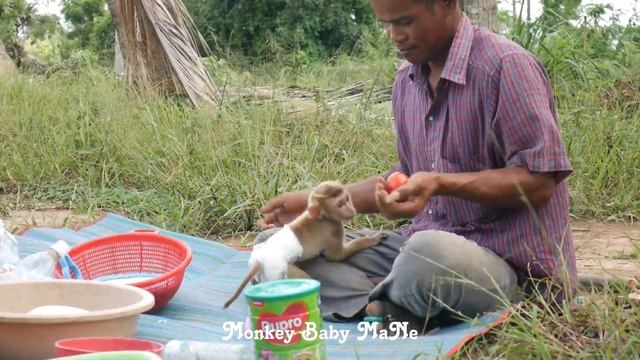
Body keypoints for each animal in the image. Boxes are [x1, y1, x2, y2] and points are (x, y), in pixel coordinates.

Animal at [222, 181, 388, 308]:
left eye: (347, 199)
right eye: (341, 204)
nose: (352, 209)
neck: (322, 216)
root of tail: (258, 260)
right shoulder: (334, 227)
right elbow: (336, 256)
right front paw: (371, 239)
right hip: (281, 271)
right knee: (303, 278)